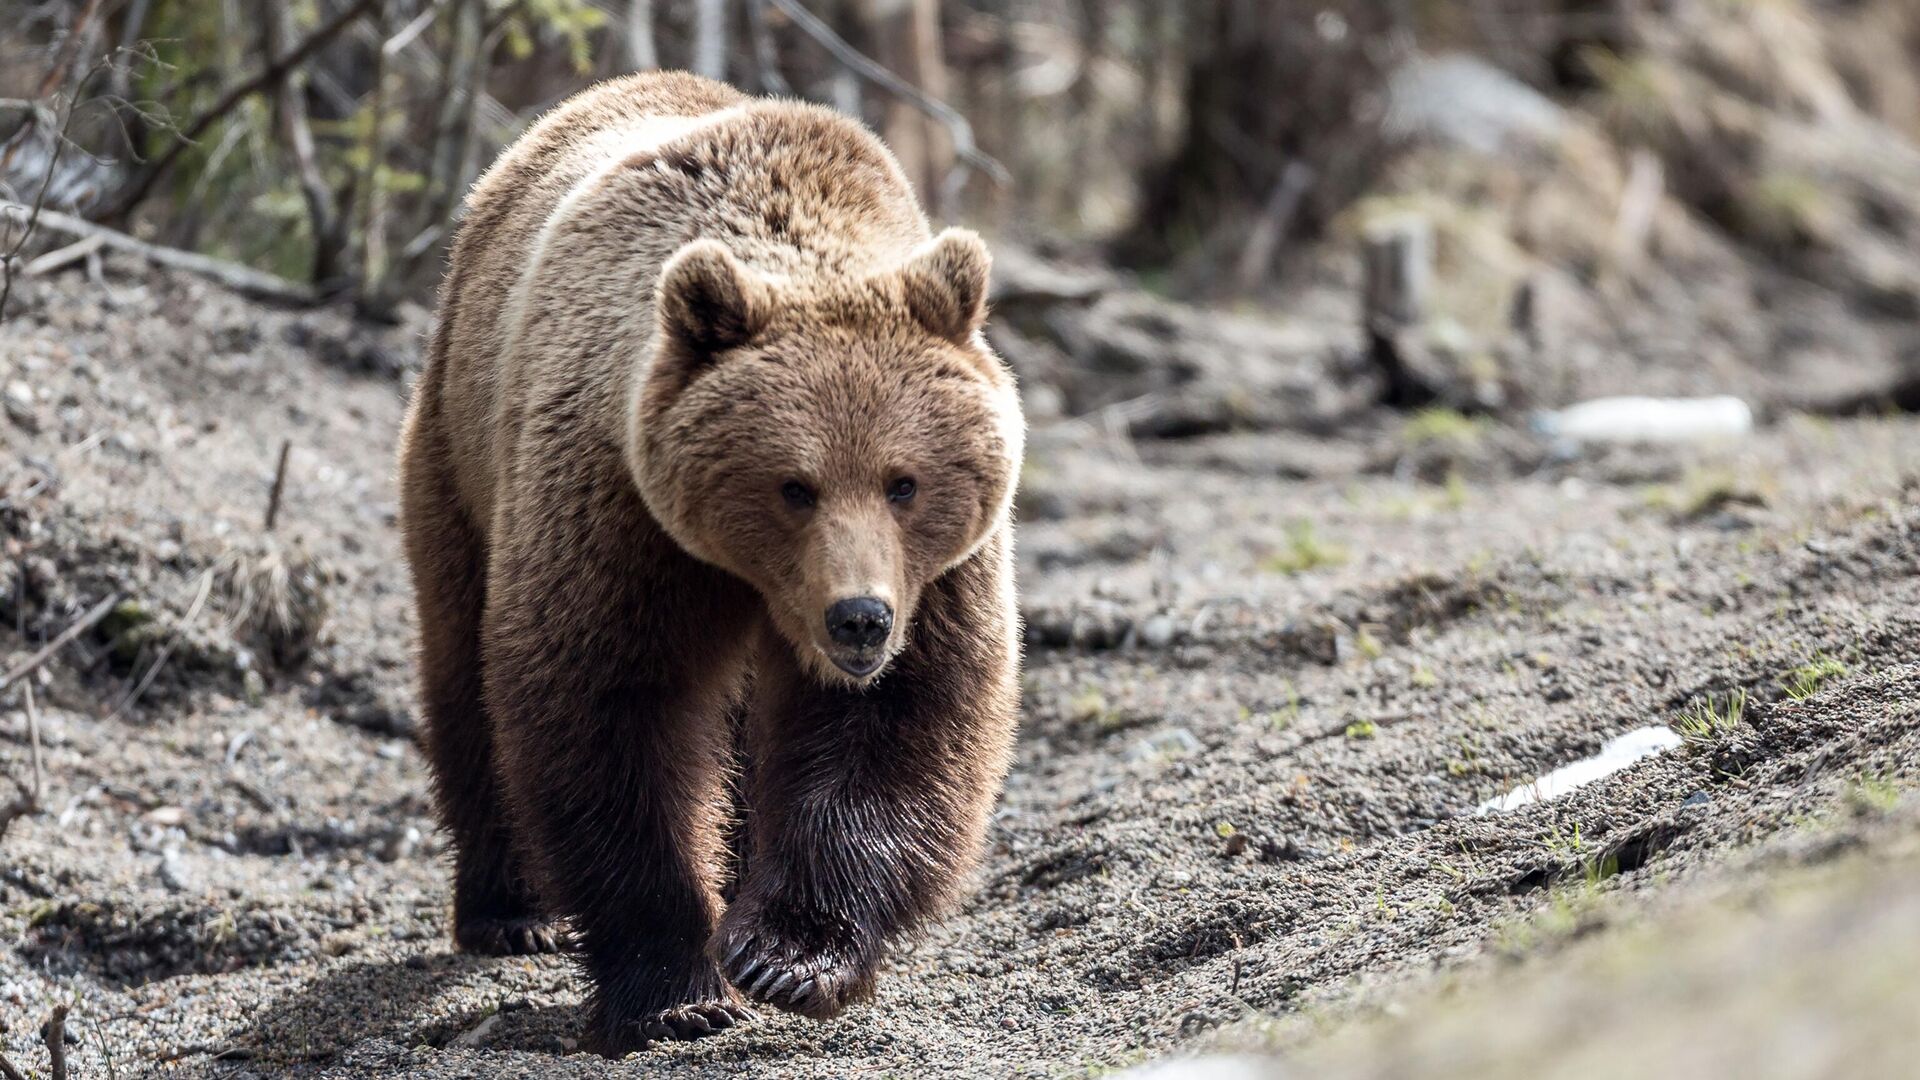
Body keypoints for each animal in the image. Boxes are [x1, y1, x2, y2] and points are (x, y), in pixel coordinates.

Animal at [389, 69, 1021, 1053]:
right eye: (794, 485)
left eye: (904, 482)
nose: (859, 619)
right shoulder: (619, 514)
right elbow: (610, 710)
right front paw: (675, 989)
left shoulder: (941, 577)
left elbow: (901, 719)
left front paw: (785, 954)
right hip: (460, 456)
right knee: (463, 670)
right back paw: (511, 910)